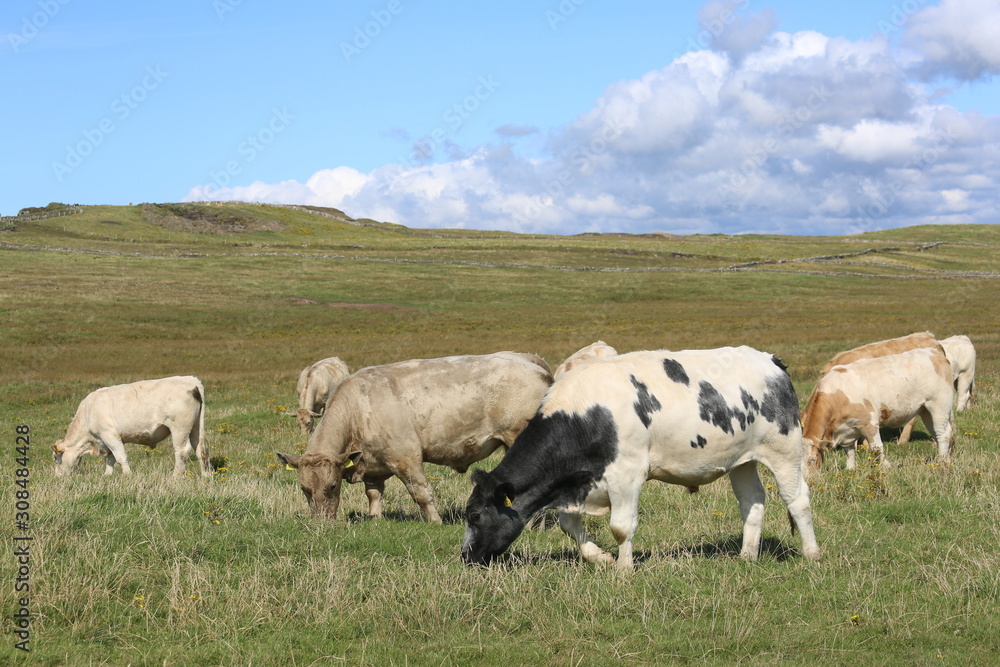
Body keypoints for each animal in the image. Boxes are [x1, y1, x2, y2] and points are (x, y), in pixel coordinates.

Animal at [51, 376, 212, 480]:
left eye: (55, 458)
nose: (57, 477)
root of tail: (190, 380)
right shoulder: (106, 440)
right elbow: (110, 458)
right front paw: (107, 475)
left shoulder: (109, 435)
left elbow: (120, 456)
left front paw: (127, 475)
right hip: (196, 427)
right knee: (200, 449)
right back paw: (205, 475)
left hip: (179, 428)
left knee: (182, 451)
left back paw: (176, 475)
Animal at [278, 352, 552, 524]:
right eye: (304, 489)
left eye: (333, 486)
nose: (322, 523)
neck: (359, 408)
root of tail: (530, 361)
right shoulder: (373, 464)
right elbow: (373, 494)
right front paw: (375, 519)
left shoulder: (406, 457)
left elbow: (421, 493)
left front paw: (435, 521)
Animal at [460, 348, 820, 572]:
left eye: (475, 516)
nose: (465, 556)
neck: (585, 415)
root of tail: (770, 360)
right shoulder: (578, 482)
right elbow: (568, 524)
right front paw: (600, 558)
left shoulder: (627, 473)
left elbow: (621, 527)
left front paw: (623, 568)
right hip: (741, 460)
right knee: (752, 501)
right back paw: (747, 555)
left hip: (784, 449)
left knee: (797, 499)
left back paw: (811, 553)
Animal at [800, 350, 956, 474]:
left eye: (812, 459)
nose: (808, 480)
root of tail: (933, 353)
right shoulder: (847, 428)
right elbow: (849, 450)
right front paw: (850, 469)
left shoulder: (869, 423)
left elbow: (877, 447)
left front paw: (886, 466)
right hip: (925, 410)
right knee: (937, 433)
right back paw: (945, 458)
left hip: (939, 404)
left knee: (943, 433)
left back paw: (942, 462)